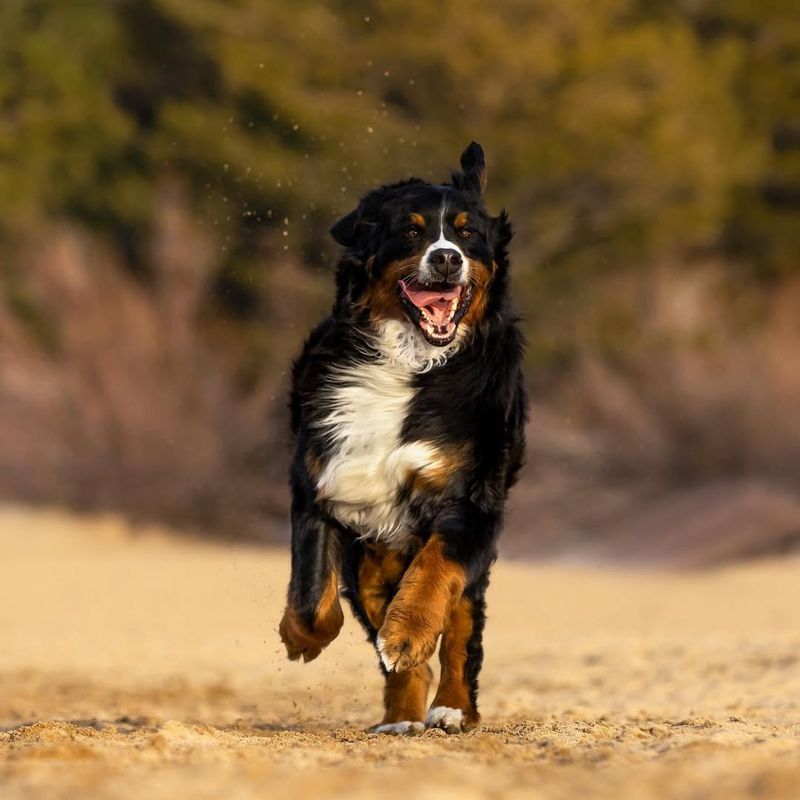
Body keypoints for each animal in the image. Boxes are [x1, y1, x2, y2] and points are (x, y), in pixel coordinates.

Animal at [278, 142, 528, 732]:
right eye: (411, 232)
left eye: (467, 234)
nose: (447, 258)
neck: (409, 362)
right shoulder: (320, 484)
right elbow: (311, 597)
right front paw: (301, 638)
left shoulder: (470, 502)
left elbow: (435, 577)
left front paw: (409, 634)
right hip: (375, 556)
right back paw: (401, 717)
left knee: (460, 636)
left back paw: (452, 709)